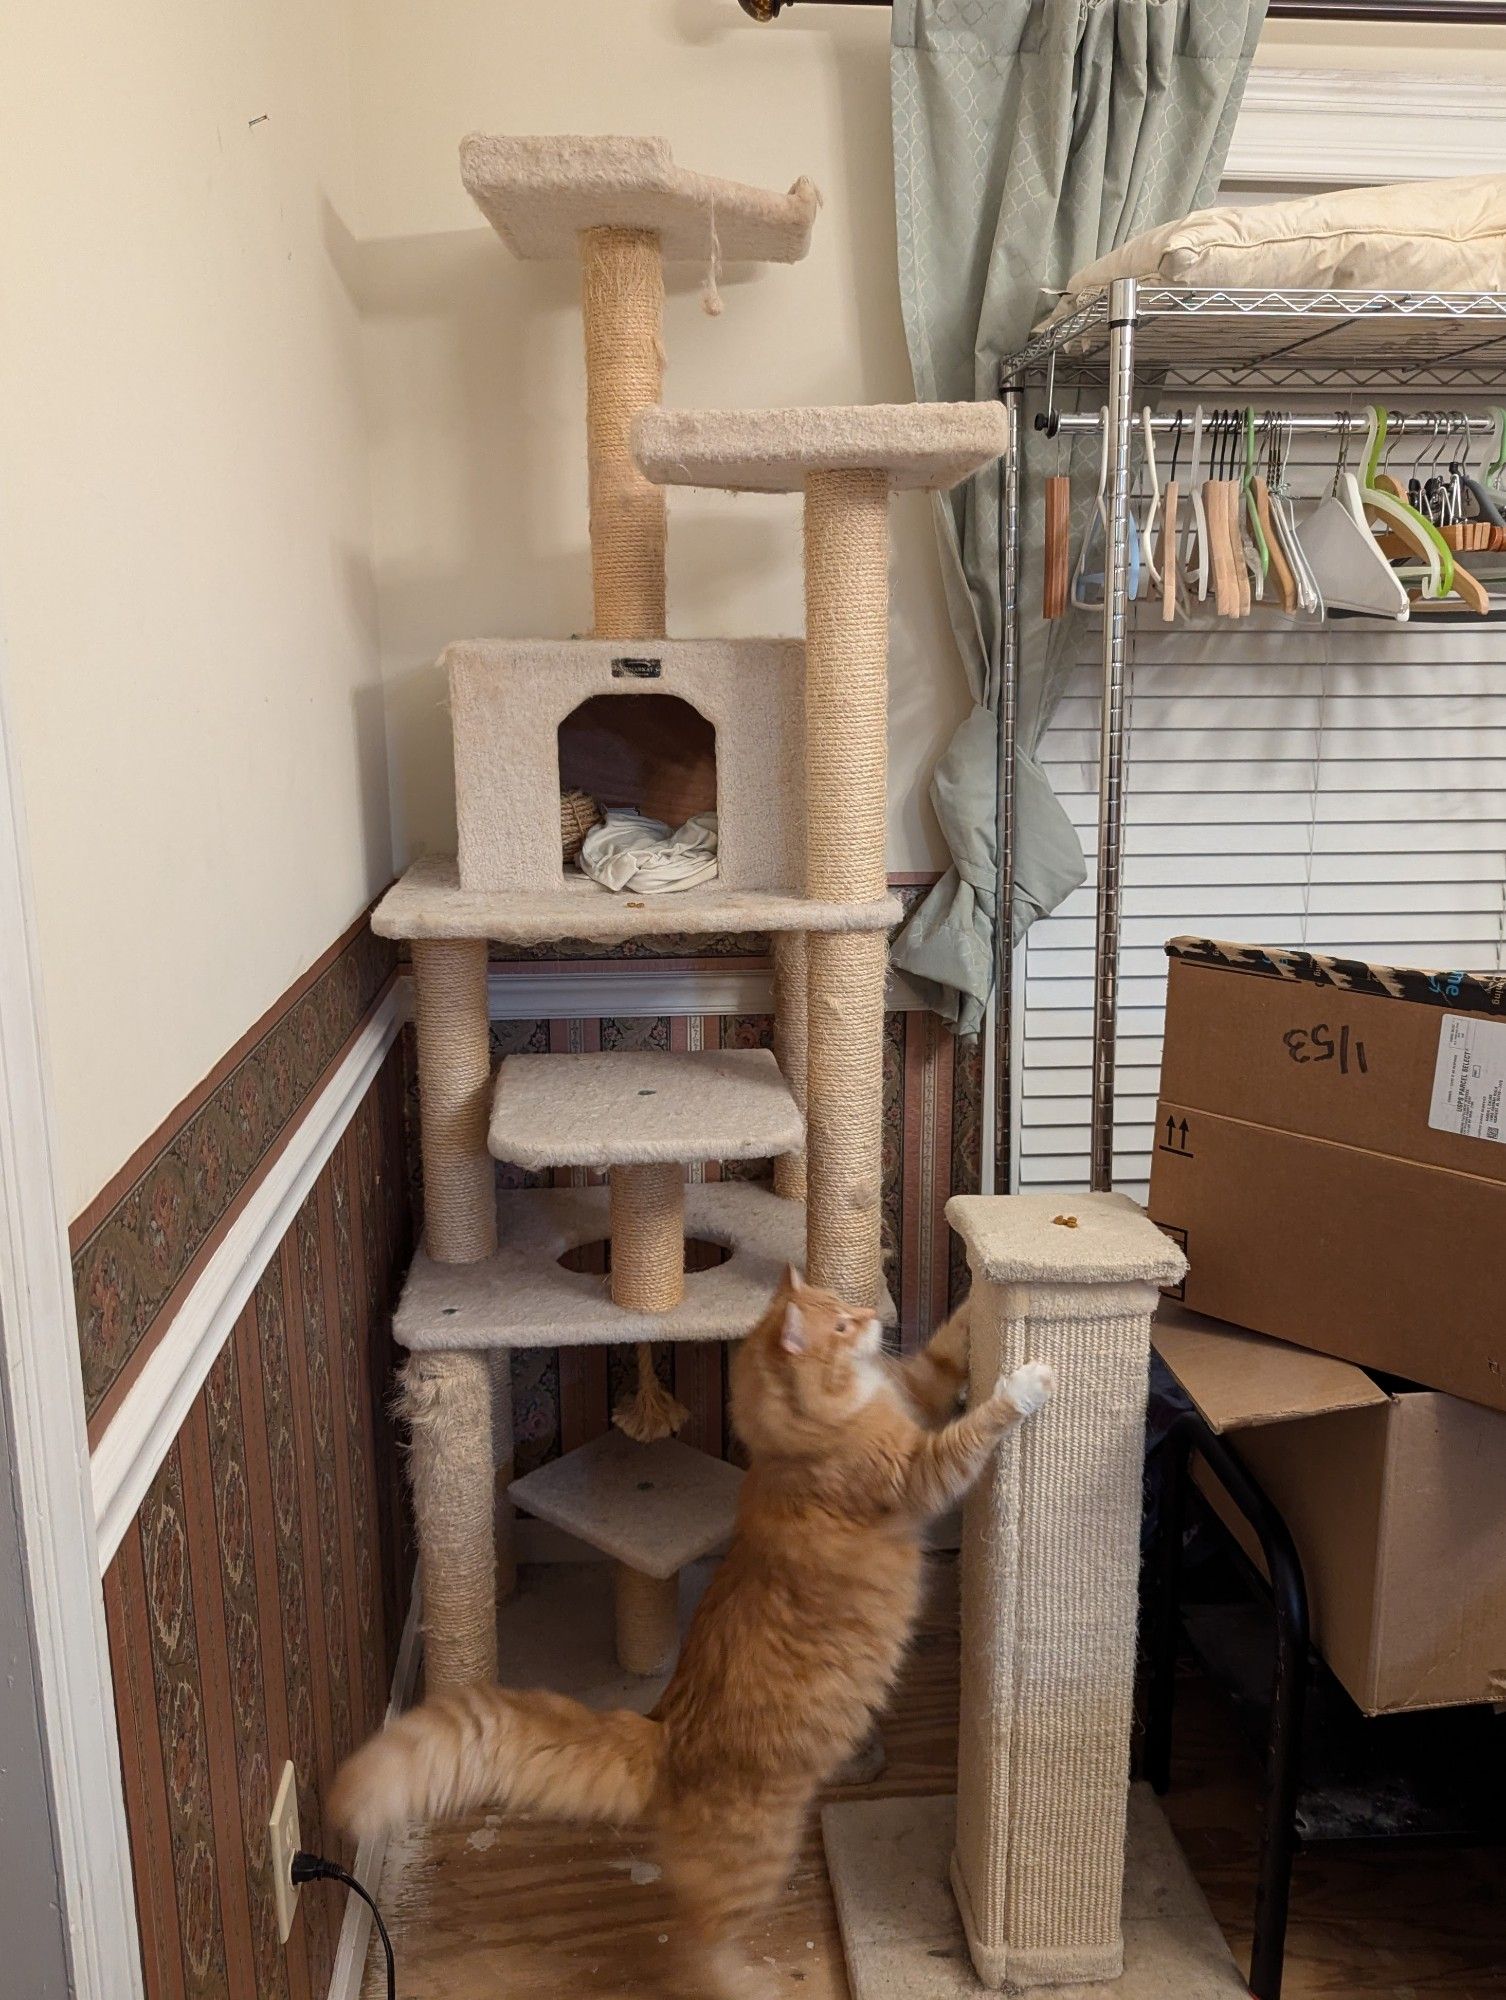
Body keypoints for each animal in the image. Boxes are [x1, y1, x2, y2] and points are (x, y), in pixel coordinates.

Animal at [334, 1272, 1048, 1992]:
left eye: (845, 1305)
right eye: (842, 1327)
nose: (871, 1313)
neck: (804, 1441)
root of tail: (663, 1728)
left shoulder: (919, 1388)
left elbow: (951, 1344)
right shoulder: (919, 1469)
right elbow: (976, 1426)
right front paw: (1026, 1382)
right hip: (756, 1860)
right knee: (691, 1948)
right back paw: (750, 1985)